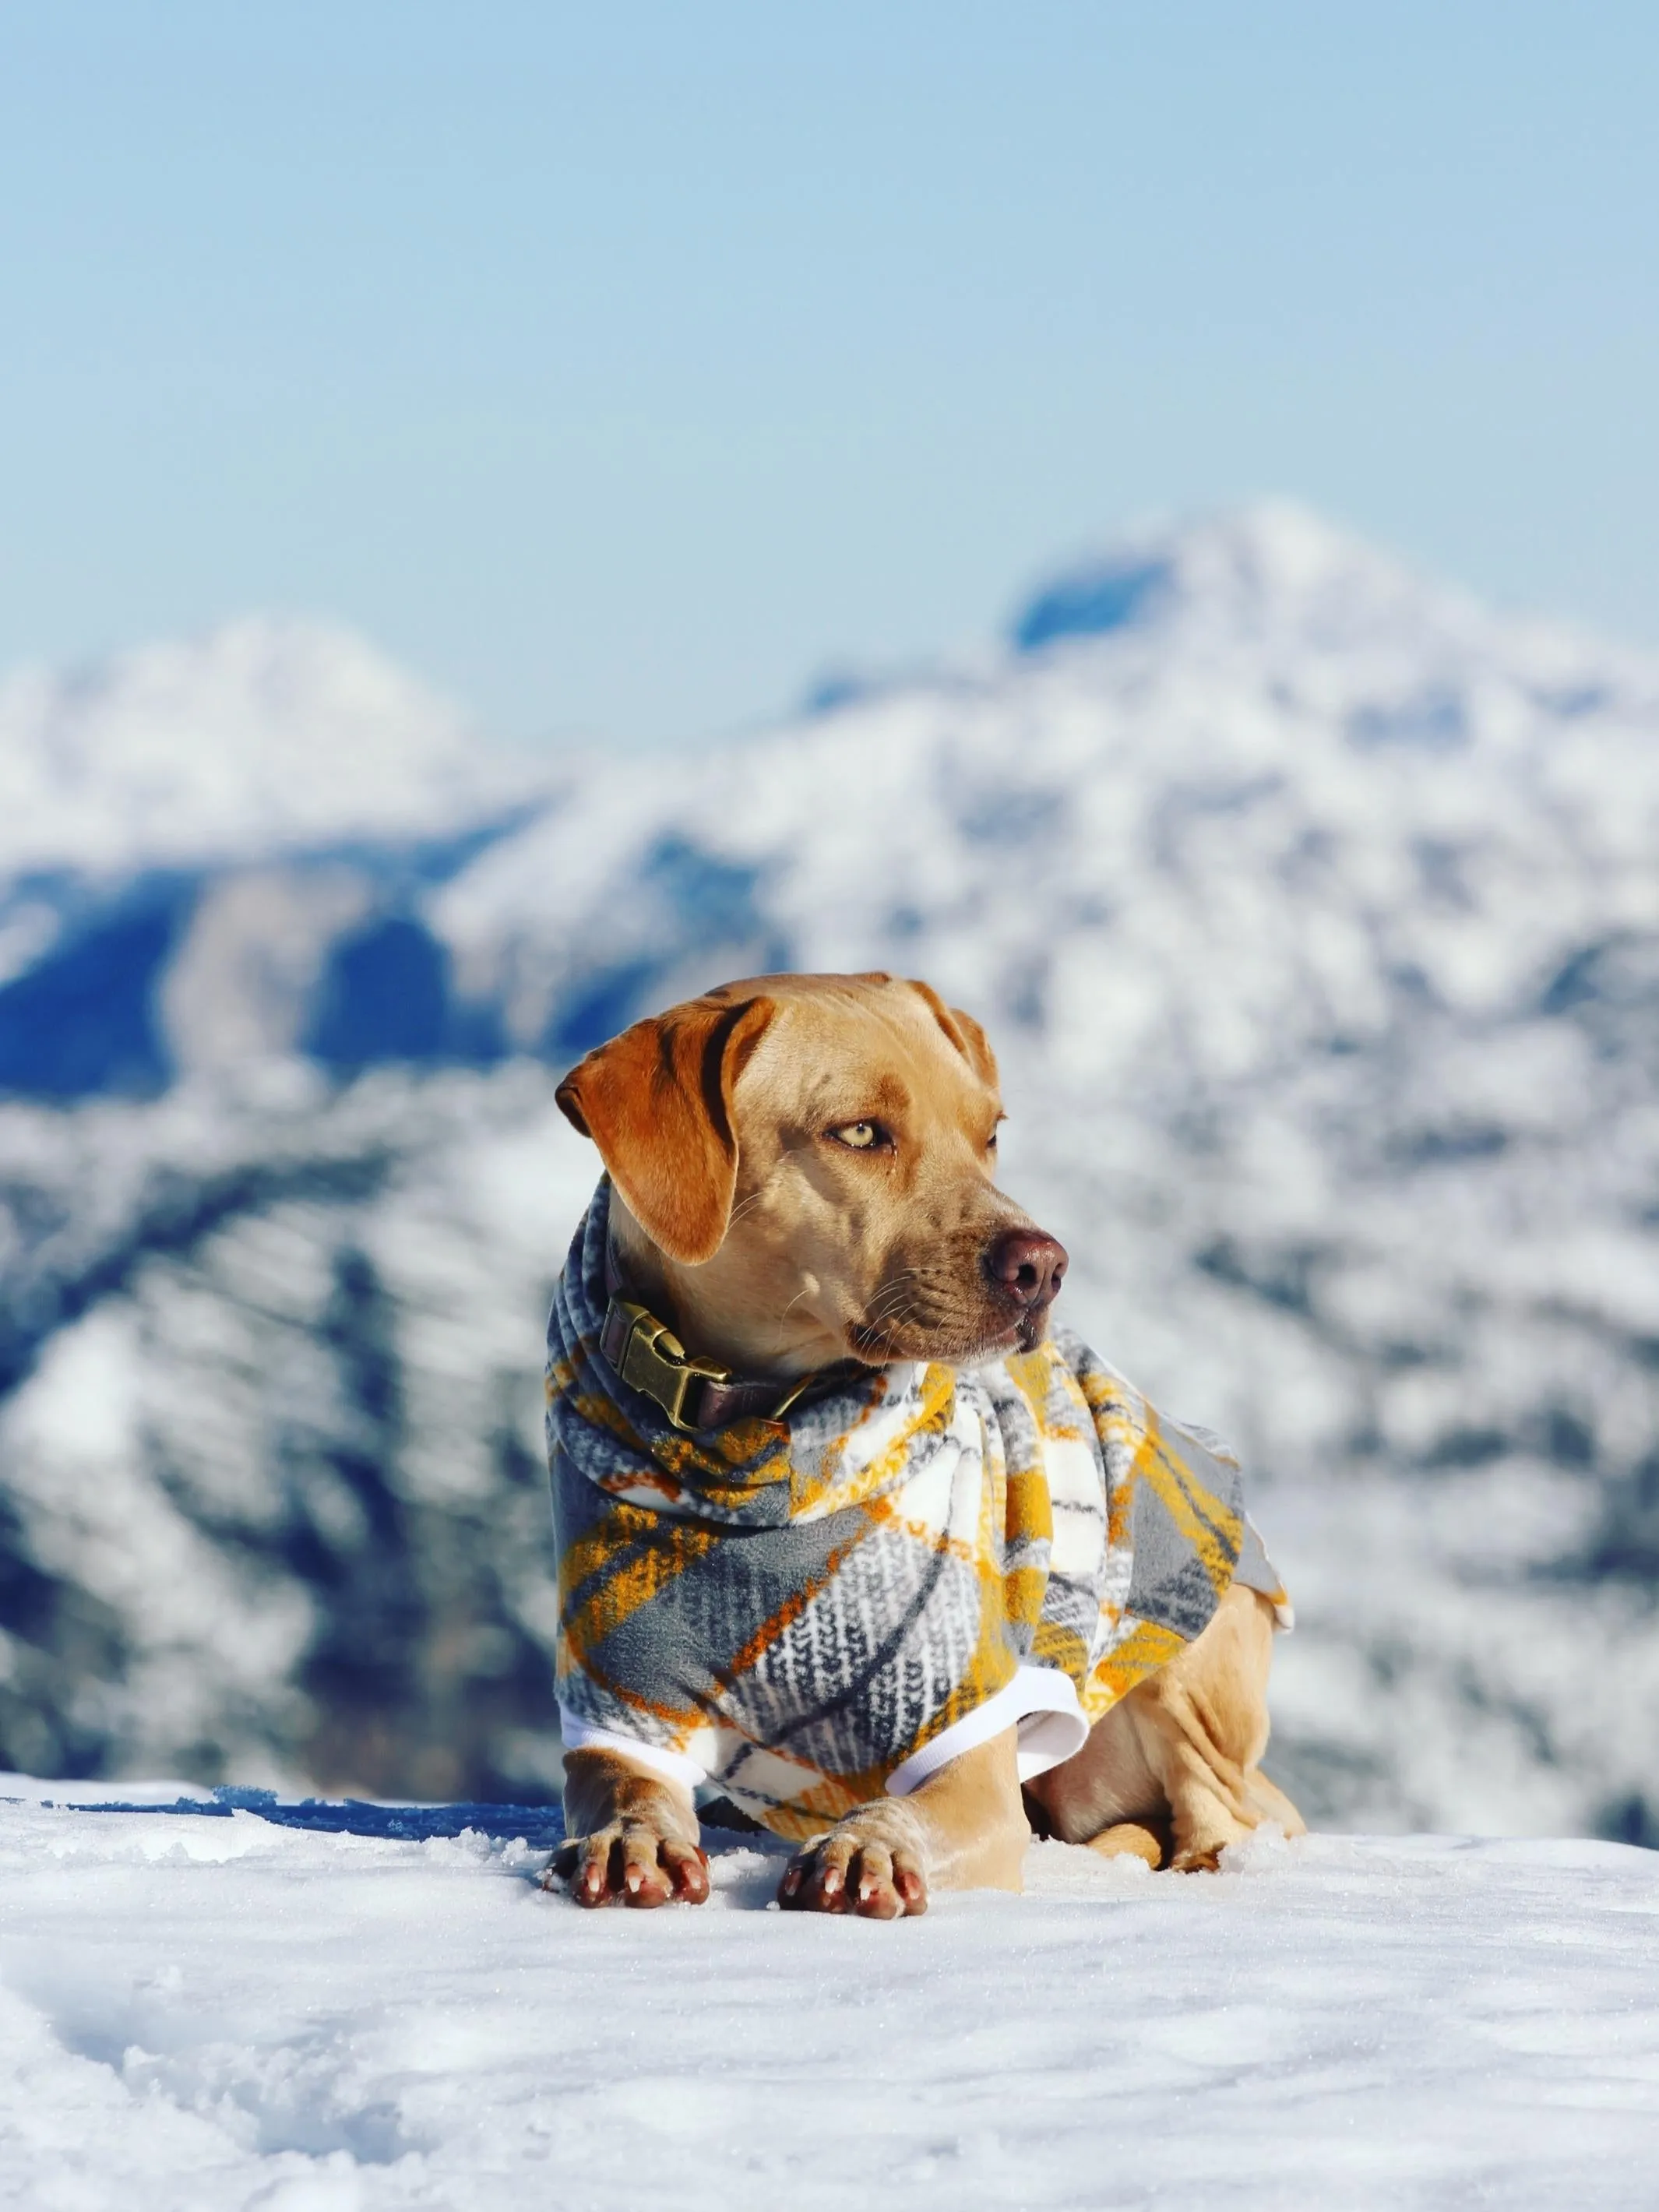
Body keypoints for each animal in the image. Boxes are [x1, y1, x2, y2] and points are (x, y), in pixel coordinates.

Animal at [546, 973, 1300, 1920]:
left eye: (990, 1133)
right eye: (861, 1132)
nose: (1044, 1266)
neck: (754, 1440)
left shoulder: (966, 1737)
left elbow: (913, 1811)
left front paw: (866, 1847)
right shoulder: (620, 1707)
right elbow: (623, 1786)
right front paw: (629, 1837)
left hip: (1184, 1652)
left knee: (1226, 1811)